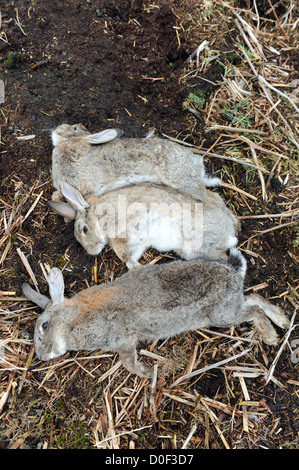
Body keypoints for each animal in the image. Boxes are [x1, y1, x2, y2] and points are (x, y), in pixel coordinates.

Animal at [22, 250, 290, 378]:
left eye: (44, 326)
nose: (42, 356)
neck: (74, 320)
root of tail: (233, 272)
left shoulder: (122, 339)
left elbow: (129, 363)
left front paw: (148, 373)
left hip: (222, 315)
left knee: (253, 309)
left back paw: (271, 337)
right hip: (232, 304)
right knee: (254, 298)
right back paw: (283, 321)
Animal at [49, 181, 241, 268]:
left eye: (85, 229)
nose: (91, 251)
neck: (99, 217)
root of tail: (229, 234)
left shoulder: (131, 223)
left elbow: (119, 245)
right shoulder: (138, 244)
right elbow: (129, 257)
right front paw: (136, 267)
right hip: (194, 252)